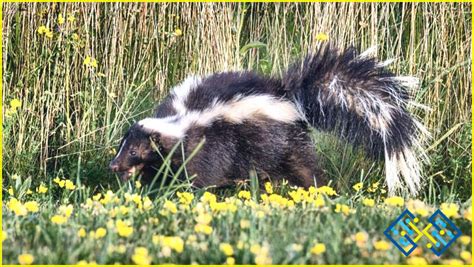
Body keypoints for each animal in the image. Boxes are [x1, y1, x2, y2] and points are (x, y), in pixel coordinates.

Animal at [110, 45, 426, 197]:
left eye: (135, 150)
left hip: (283, 141)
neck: (180, 121)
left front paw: (186, 192)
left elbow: (201, 173)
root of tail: (288, 95)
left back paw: (320, 190)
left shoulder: (208, 143)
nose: (114, 165)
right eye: (122, 146)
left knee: (302, 167)